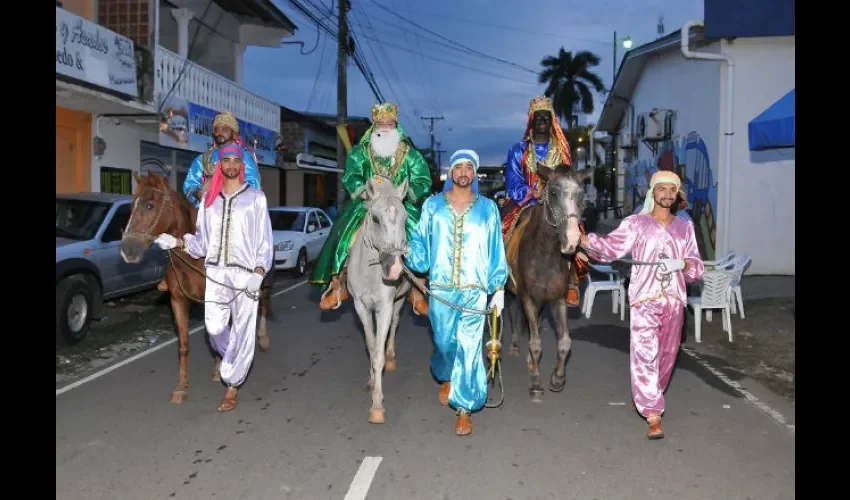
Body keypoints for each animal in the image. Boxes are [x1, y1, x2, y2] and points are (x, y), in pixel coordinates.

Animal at [117, 170, 272, 404]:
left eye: (150, 205)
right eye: (131, 207)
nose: (128, 250)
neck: (193, 259)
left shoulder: (217, 299)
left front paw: (222, 369)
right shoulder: (178, 300)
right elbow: (185, 344)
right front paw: (181, 386)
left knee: (264, 302)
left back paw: (262, 339)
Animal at [344, 174, 410, 424]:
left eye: (406, 218)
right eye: (375, 218)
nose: (395, 269)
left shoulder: (385, 306)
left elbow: (379, 354)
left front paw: (377, 405)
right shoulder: (361, 306)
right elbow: (371, 347)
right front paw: (371, 381)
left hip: (400, 299)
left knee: (395, 323)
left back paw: (391, 354)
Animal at [500, 164, 592, 402]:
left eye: (582, 194)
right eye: (553, 192)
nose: (572, 240)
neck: (546, 254)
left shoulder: (557, 299)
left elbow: (564, 342)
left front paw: (557, 379)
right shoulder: (527, 297)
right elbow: (535, 343)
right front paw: (536, 384)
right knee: (511, 312)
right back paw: (514, 346)